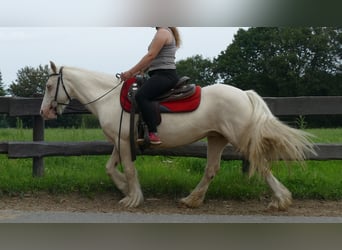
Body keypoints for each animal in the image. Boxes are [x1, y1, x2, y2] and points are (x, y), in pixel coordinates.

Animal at [39, 61, 316, 210]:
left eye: (49, 86)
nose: (44, 112)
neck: (109, 98)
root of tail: (244, 93)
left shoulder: (124, 142)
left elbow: (129, 169)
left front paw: (133, 198)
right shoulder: (119, 141)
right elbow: (110, 168)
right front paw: (125, 189)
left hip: (240, 138)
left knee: (262, 166)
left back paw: (280, 200)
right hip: (216, 138)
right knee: (212, 169)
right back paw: (191, 199)